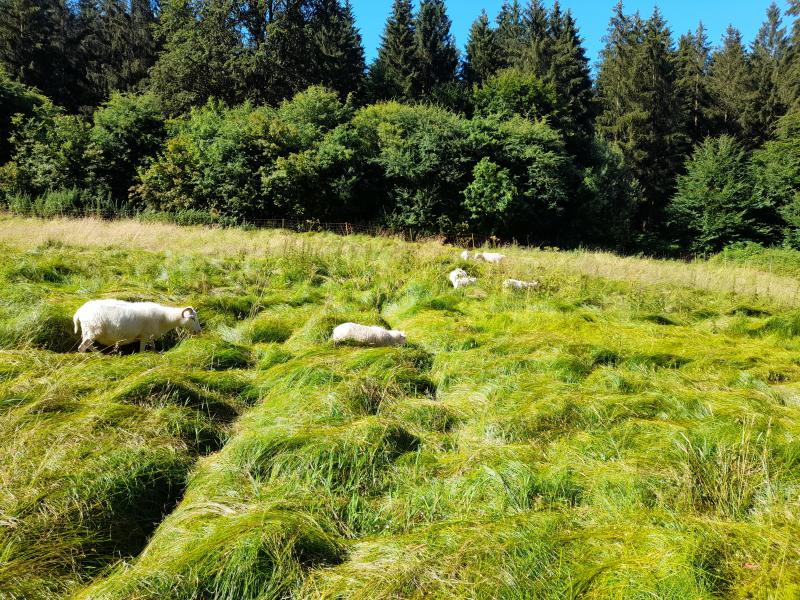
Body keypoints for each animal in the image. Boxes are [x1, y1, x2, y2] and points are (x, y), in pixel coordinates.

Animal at [73, 299, 202, 352]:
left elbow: (153, 347)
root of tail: (79, 311)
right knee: (82, 347)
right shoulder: (144, 335)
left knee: (87, 345)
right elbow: (141, 350)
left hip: (87, 332)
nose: (199, 331)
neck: (165, 318)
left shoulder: (150, 336)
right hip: (93, 330)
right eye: (192, 318)